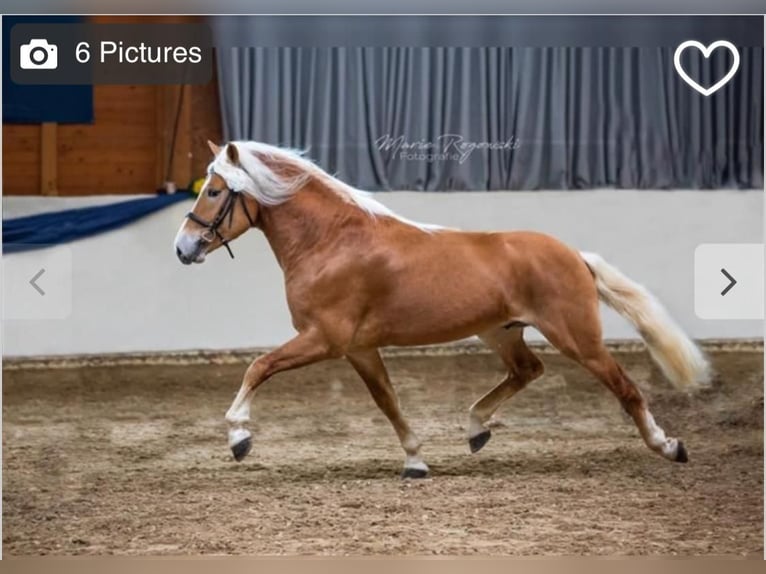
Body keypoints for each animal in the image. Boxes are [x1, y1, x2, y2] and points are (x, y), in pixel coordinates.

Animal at [176, 141, 712, 482]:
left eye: (215, 191)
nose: (183, 248)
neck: (331, 242)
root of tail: (574, 255)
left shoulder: (324, 339)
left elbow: (259, 366)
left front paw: (238, 437)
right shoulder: (359, 348)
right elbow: (388, 402)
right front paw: (415, 461)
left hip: (576, 337)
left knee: (624, 386)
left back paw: (669, 447)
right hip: (502, 331)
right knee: (527, 370)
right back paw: (476, 430)